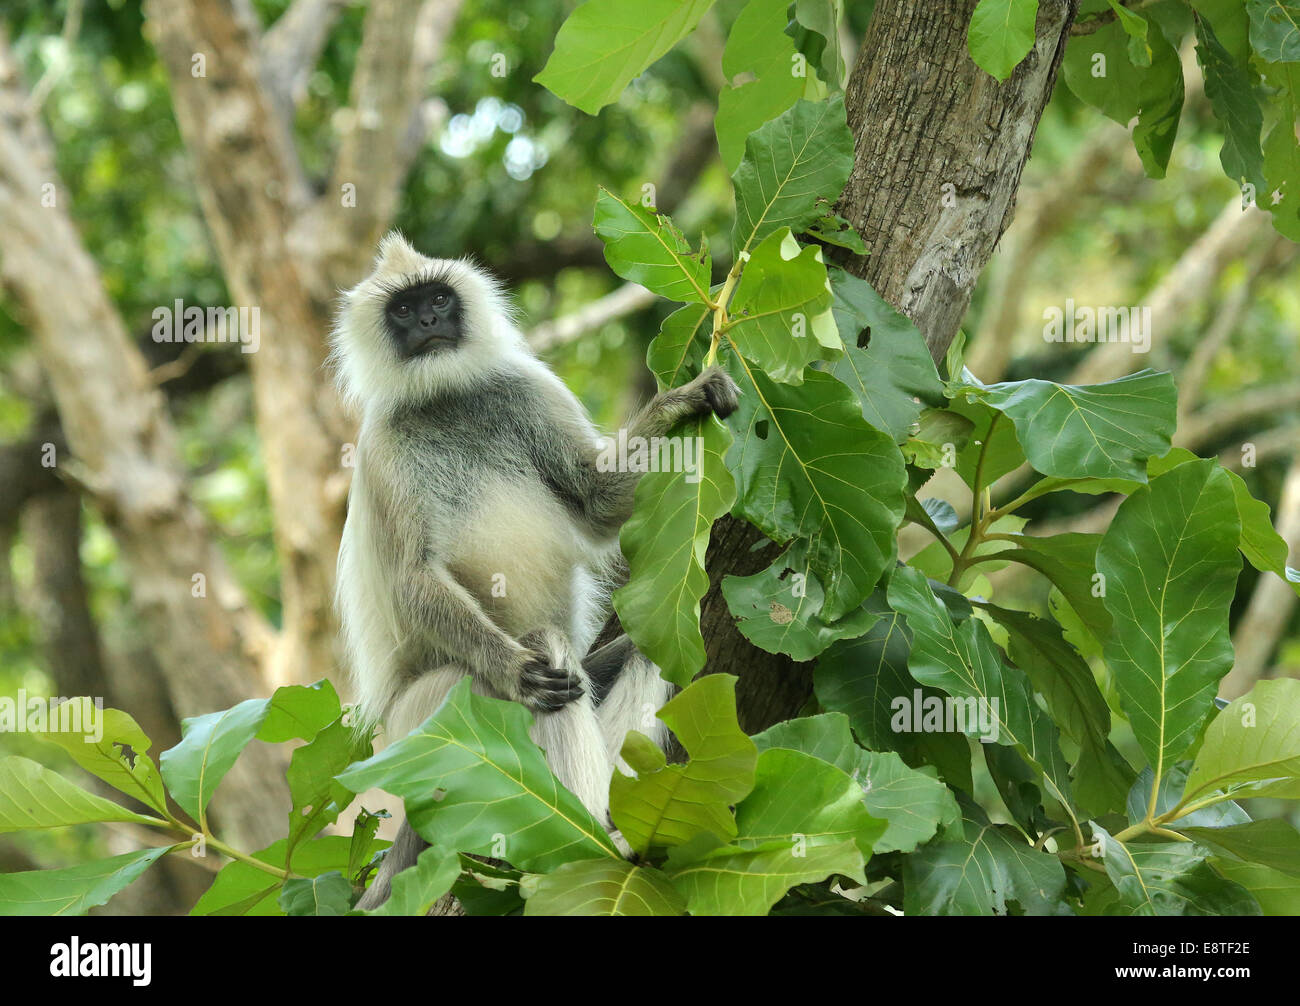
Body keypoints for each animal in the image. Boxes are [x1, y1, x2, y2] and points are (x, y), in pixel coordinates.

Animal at [330, 232, 738, 909]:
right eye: (404, 310)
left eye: (438, 299)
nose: (430, 324)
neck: (447, 401)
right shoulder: (382, 450)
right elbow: (412, 584)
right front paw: (515, 670)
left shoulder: (526, 388)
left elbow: (596, 502)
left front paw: (684, 401)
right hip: (429, 717)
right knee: (544, 651)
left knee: (645, 647)